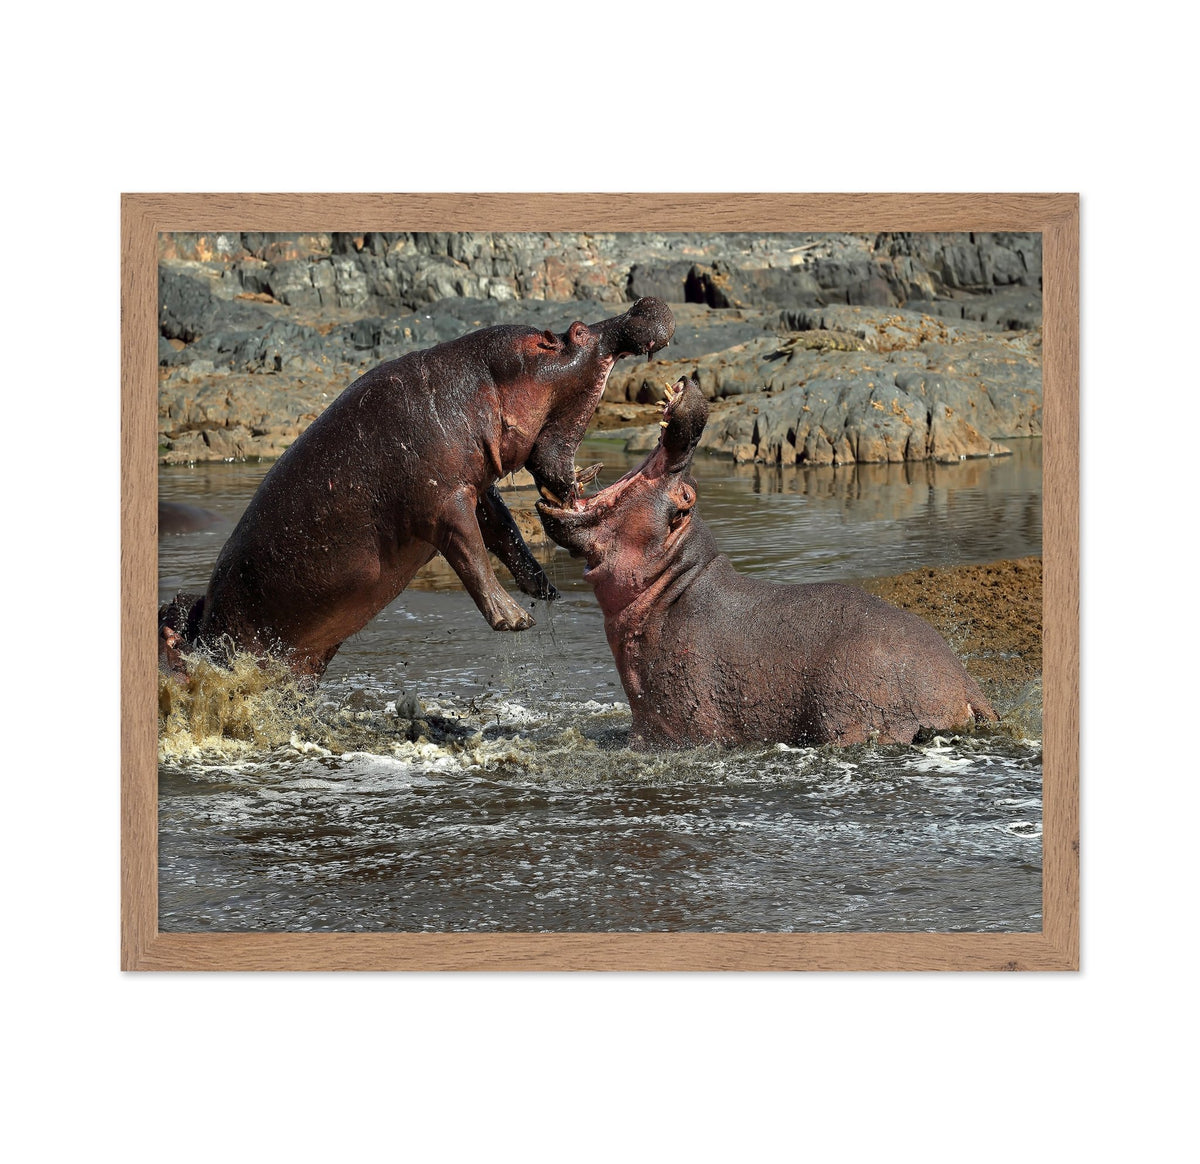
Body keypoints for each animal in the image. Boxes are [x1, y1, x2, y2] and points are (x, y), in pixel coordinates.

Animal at [160, 298, 675, 679]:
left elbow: (505, 532)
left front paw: (543, 588)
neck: (483, 384)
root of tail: (200, 628)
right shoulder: (443, 500)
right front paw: (515, 619)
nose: (641, 304)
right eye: (577, 332)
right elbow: (471, 553)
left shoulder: (476, 487)